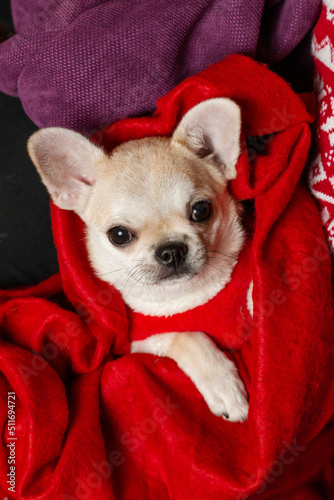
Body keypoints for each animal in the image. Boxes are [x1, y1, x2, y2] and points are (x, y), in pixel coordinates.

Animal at [28, 97, 250, 422]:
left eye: (201, 210)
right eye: (119, 235)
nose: (171, 250)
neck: (186, 296)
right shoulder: (139, 341)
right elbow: (185, 335)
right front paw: (222, 384)